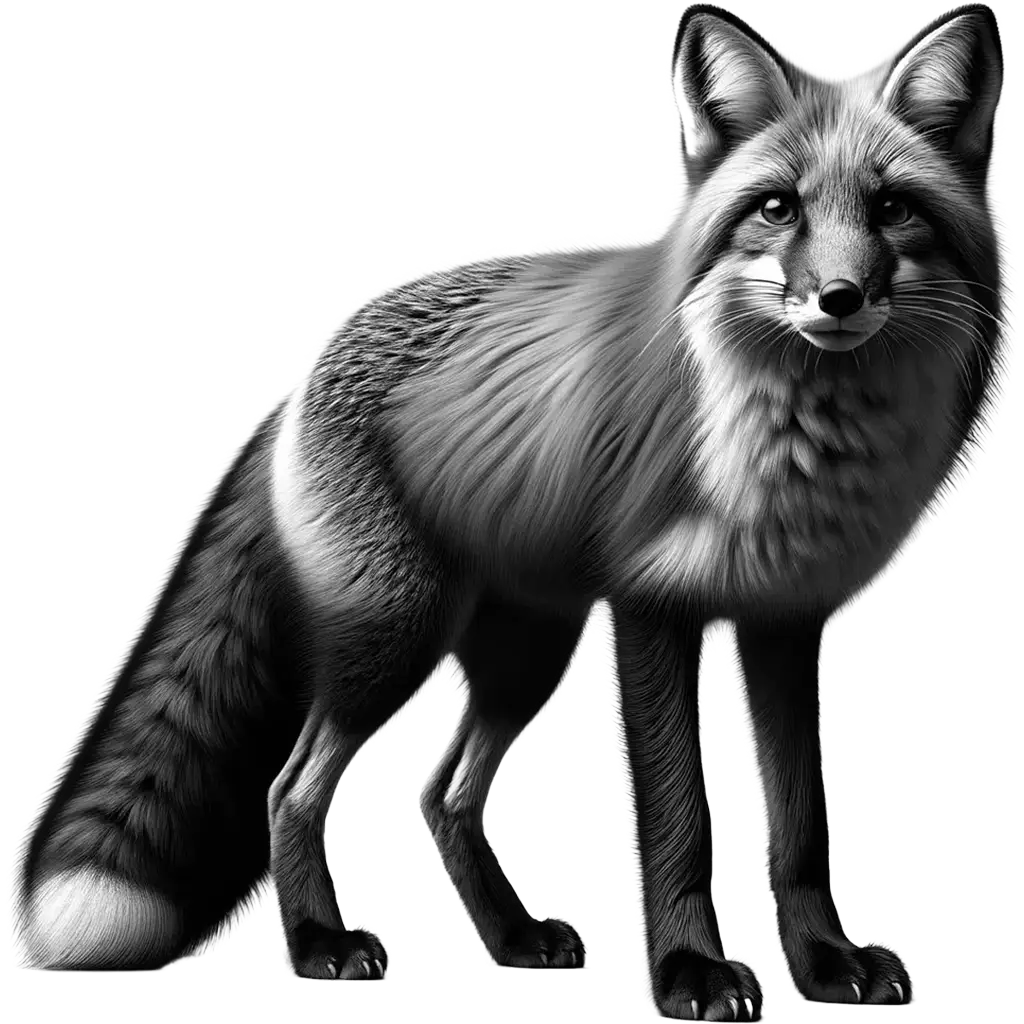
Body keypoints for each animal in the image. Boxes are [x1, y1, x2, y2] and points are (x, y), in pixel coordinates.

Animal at [10, 2, 1013, 1020]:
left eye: (892, 208)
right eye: (778, 208)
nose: (839, 298)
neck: (793, 439)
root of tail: (297, 387)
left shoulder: (782, 619)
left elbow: (801, 823)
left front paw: (824, 965)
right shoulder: (651, 606)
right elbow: (678, 817)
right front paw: (688, 973)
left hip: (528, 649)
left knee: (444, 795)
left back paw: (511, 939)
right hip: (395, 637)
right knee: (290, 788)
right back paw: (320, 944)